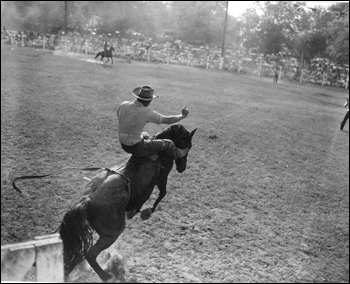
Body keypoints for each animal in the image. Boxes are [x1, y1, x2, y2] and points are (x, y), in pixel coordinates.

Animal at [57, 124, 196, 282]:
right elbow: (162, 193)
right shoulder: (162, 178)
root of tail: (87, 200)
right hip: (112, 233)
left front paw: (137, 211)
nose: (182, 168)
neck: (161, 152)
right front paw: (147, 212)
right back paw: (106, 275)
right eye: (188, 144)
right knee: (90, 254)